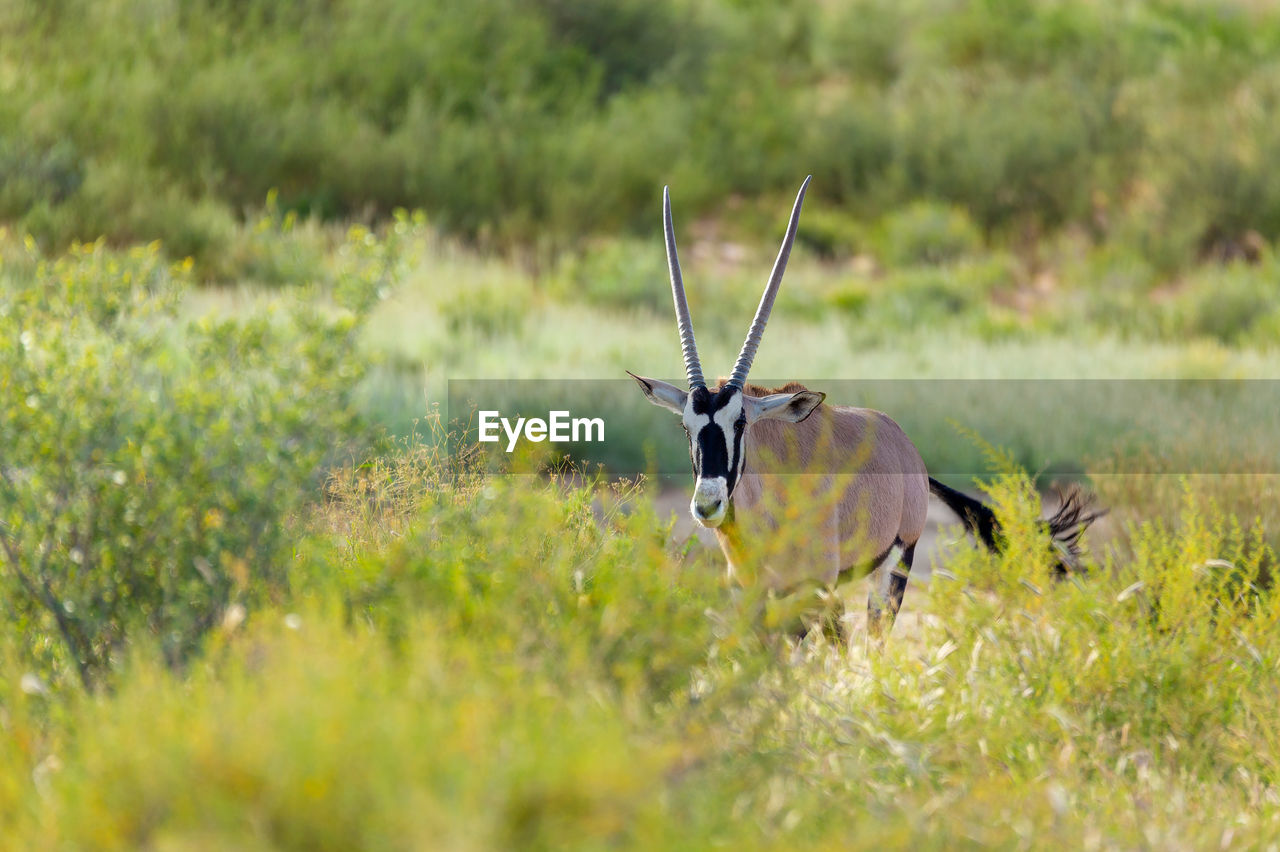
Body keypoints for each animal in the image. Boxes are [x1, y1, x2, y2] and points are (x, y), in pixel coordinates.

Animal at [629, 175, 1100, 634]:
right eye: (686, 426)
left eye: (741, 423)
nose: (707, 505)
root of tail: (907, 448)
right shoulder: (752, 595)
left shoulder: (815, 589)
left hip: (892, 570)